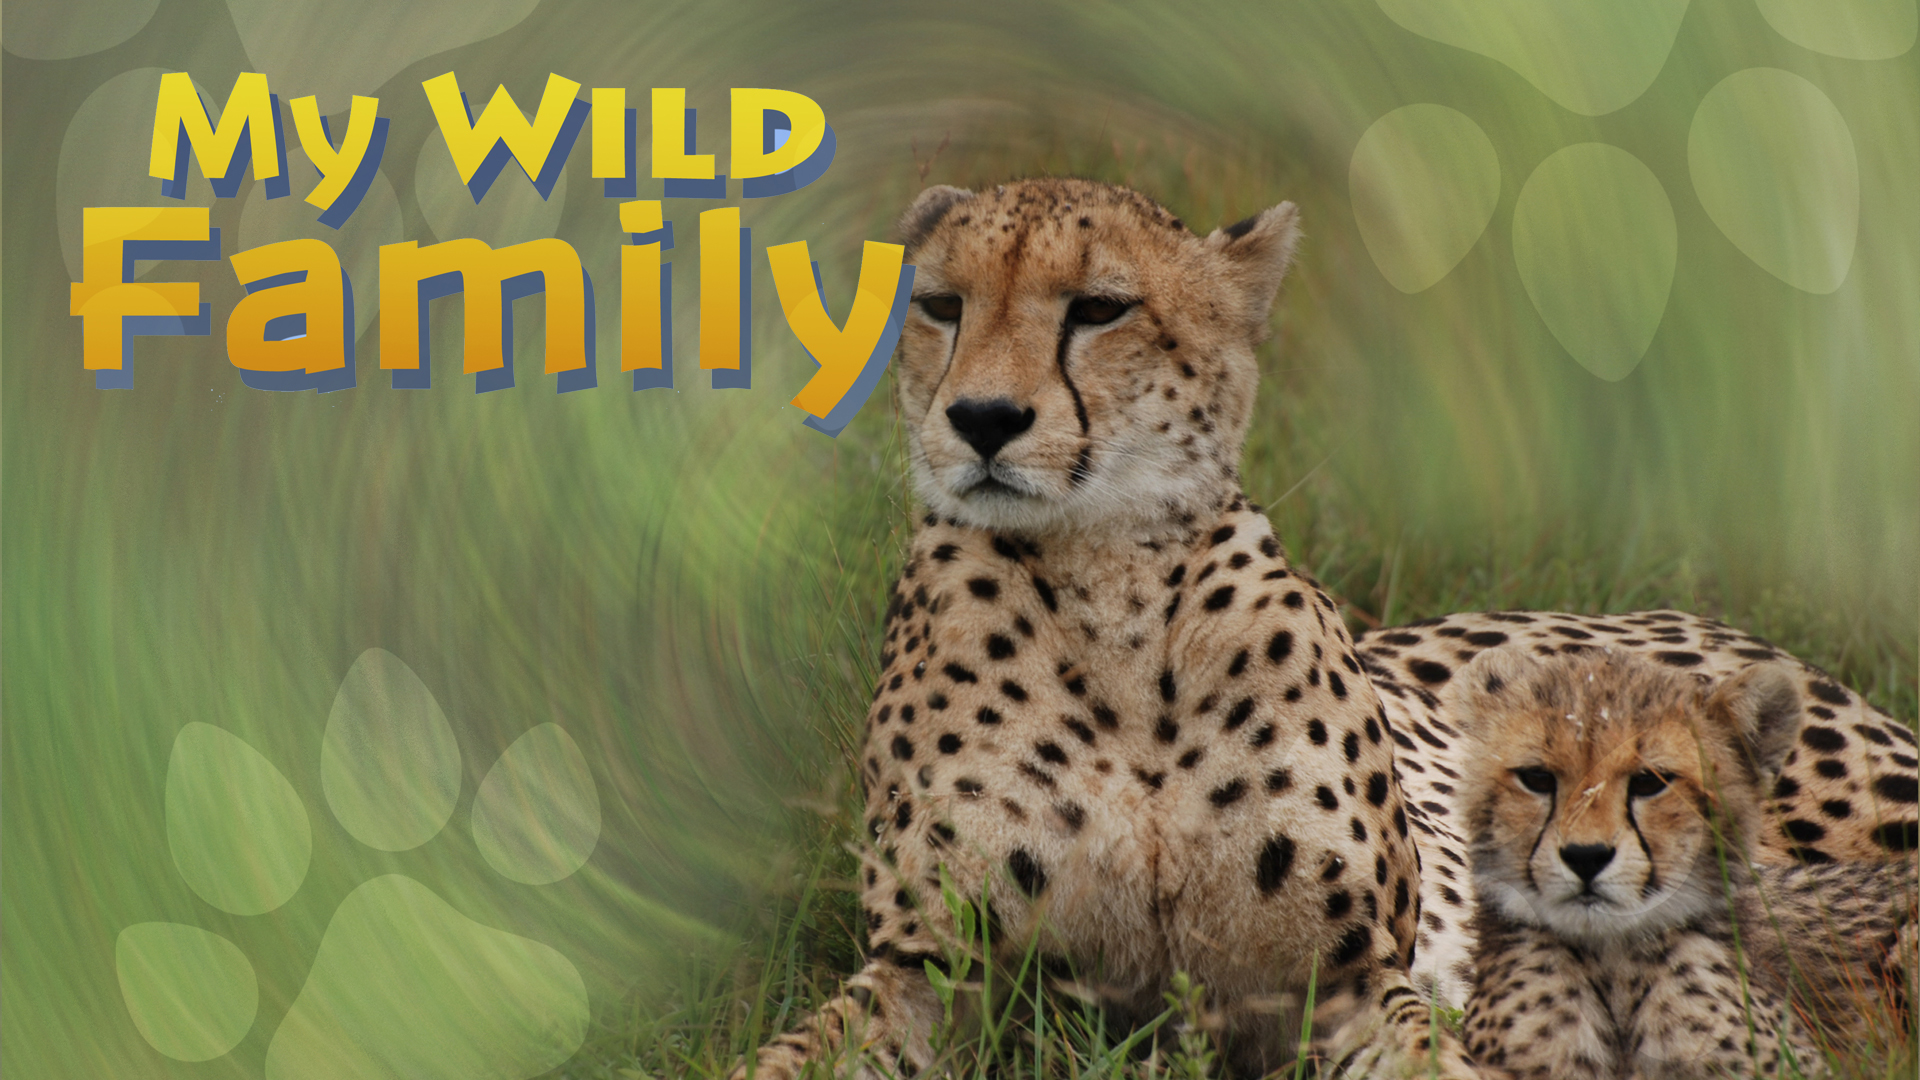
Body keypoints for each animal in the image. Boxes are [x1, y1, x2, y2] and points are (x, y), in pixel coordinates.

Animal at [736, 178, 1481, 1080]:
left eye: (1098, 309)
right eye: (942, 305)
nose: (983, 418)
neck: (1107, 582)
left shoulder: (1345, 976)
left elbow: (1438, 1060)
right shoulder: (932, 968)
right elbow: (787, 1059)